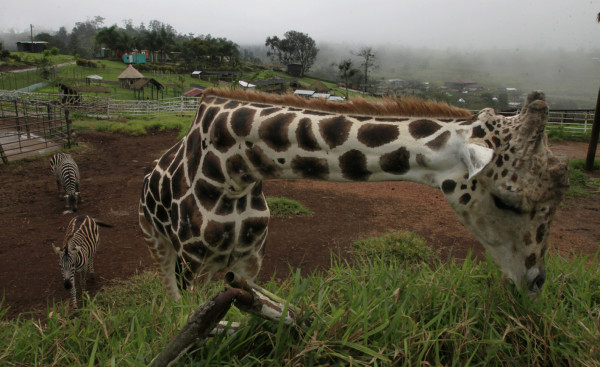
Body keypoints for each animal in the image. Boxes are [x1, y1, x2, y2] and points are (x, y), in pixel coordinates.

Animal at [138, 87, 568, 300]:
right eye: (506, 200)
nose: (535, 283)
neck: (234, 170)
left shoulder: (250, 259)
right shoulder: (193, 262)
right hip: (158, 243)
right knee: (168, 292)